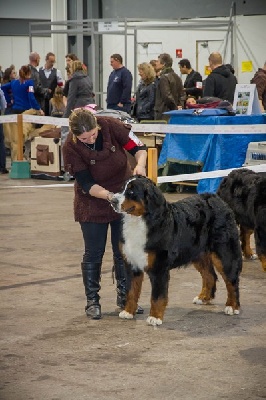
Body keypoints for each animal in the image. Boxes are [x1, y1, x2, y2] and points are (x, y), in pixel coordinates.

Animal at [110, 175, 243, 324]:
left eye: (131, 192)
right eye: (122, 188)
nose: (112, 200)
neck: (140, 221)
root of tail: (218, 199)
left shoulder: (159, 267)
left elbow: (157, 296)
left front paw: (155, 317)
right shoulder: (132, 264)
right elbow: (132, 291)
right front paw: (128, 312)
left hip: (225, 253)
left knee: (232, 281)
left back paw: (232, 306)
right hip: (198, 254)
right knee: (210, 276)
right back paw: (203, 298)